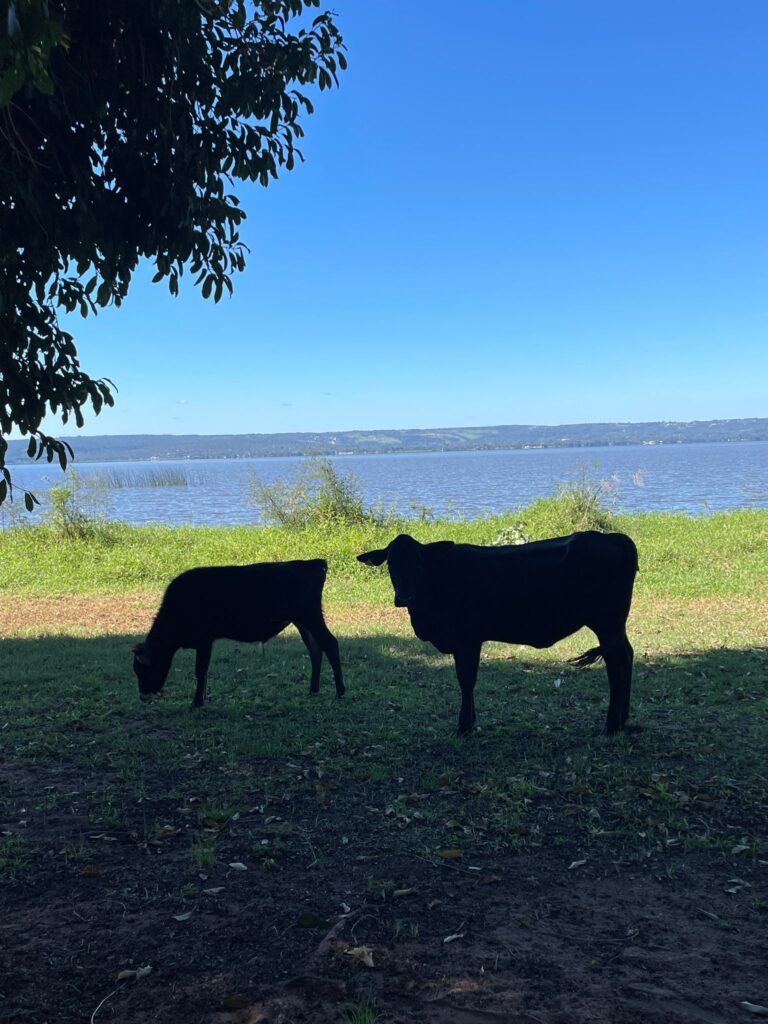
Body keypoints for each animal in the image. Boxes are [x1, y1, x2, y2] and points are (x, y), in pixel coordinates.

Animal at [135, 557, 346, 708]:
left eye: (142, 669)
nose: (143, 695)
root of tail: (313, 563)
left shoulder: (204, 640)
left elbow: (200, 669)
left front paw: (196, 702)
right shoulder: (207, 642)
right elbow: (205, 670)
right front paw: (203, 698)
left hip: (310, 616)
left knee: (330, 643)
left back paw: (340, 692)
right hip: (303, 622)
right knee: (315, 649)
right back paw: (313, 690)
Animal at [358, 532, 638, 741]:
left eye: (418, 564)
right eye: (391, 564)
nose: (403, 596)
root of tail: (615, 538)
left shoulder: (467, 639)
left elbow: (466, 680)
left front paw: (464, 726)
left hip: (607, 624)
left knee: (616, 664)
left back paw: (611, 725)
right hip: (615, 626)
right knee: (627, 655)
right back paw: (623, 718)